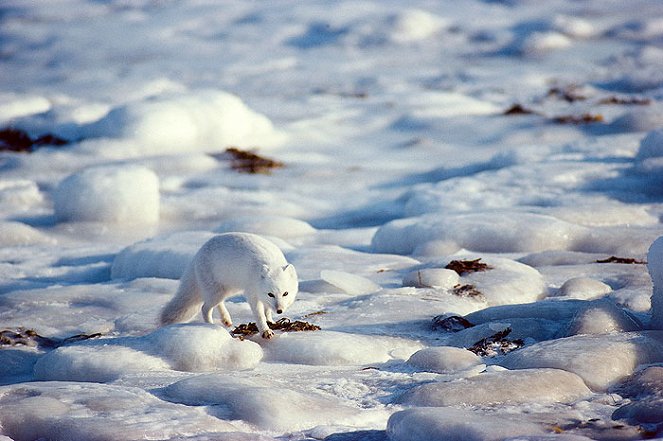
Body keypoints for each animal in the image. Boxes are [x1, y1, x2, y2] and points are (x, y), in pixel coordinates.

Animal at [161, 232, 298, 338]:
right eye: (271, 294)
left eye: (285, 293)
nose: (279, 311)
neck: (271, 262)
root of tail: (197, 254)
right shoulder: (252, 294)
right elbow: (259, 315)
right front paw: (265, 330)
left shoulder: (260, 295)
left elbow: (267, 309)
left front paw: (270, 321)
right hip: (217, 293)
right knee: (205, 308)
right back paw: (210, 325)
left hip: (228, 290)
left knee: (217, 304)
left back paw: (226, 319)